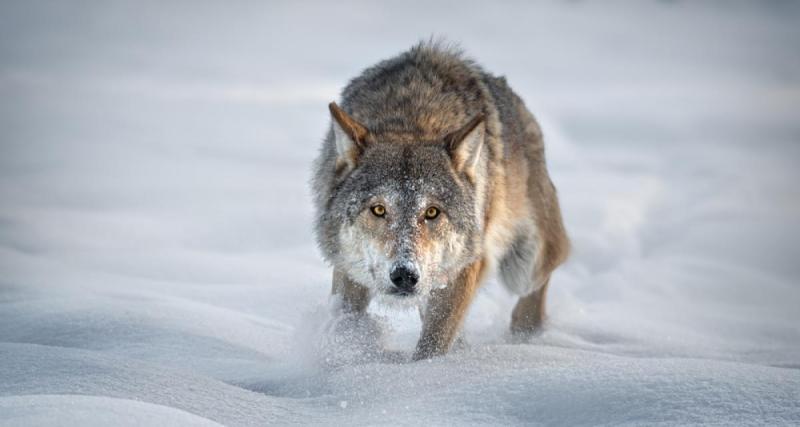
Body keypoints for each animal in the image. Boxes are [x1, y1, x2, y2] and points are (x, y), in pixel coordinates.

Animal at [312, 41, 568, 362]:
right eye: (379, 209)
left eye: (432, 212)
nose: (405, 276)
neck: (412, 121)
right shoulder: (349, 269)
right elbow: (347, 322)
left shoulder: (464, 268)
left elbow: (432, 344)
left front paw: (428, 371)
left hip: (524, 266)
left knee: (547, 272)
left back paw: (524, 337)